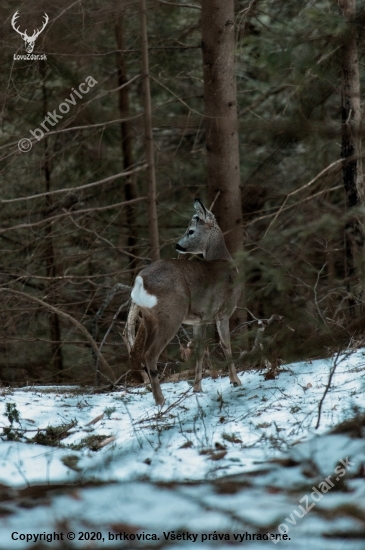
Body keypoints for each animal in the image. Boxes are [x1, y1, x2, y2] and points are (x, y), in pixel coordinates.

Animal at [126, 199, 240, 406]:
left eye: (191, 231)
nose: (177, 245)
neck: (224, 261)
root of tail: (140, 281)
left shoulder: (200, 320)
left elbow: (200, 350)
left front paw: (197, 388)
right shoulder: (223, 311)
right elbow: (226, 345)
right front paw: (235, 381)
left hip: (149, 318)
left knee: (143, 353)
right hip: (172, 314)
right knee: (150, 354)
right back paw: (161, 400)